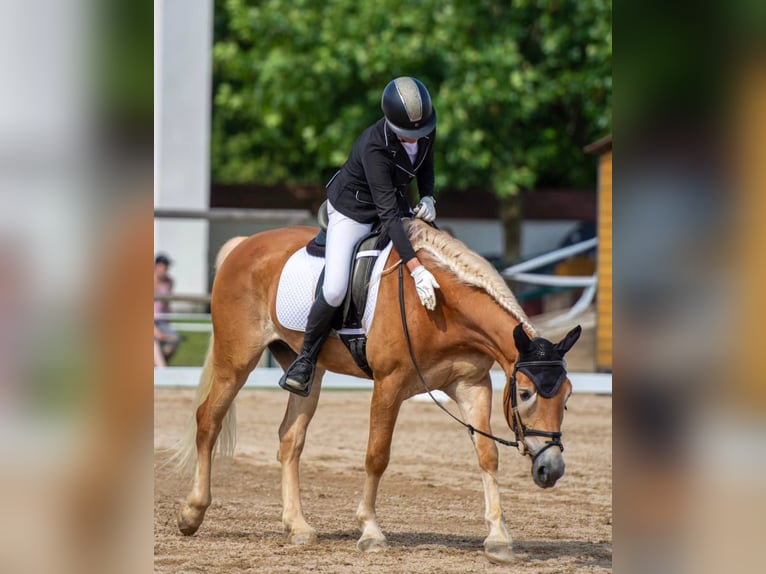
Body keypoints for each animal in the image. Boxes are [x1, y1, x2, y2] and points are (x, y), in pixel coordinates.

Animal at [176, 220, 584, 568]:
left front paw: (498, 538)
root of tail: (245, 245)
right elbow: (377, 456)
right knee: (208, 420)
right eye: (526, 393)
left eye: (567, 397)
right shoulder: (389, 384)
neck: (441, 309)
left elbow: (487, 455)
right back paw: (192, 513)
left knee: (290, 439)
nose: (551, 469)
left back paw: (298, 527)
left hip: (308, 370)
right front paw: (370, 532)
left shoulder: (472, 386)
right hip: (236, 360)